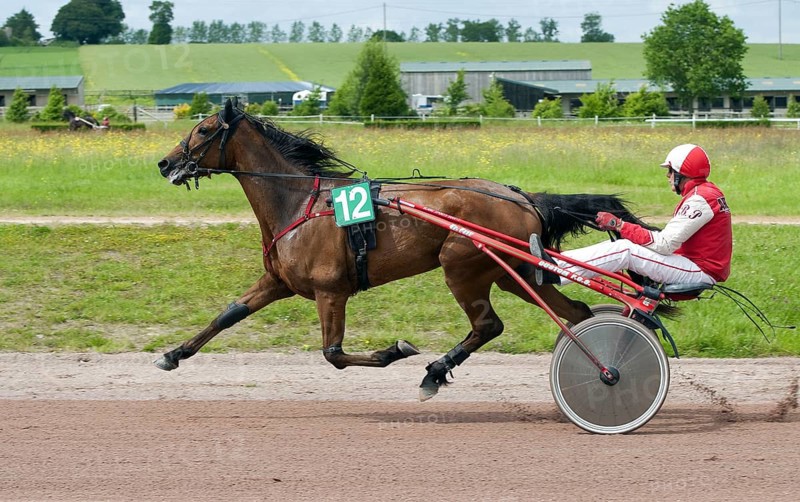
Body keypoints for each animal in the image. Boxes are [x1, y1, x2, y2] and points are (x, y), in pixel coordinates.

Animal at [155, 99, 652, 401]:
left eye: (203, 129)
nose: (164, 163)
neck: (298, 201)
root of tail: (523, 197)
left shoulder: (330, 290)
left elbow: (333, 354)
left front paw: (396, 350)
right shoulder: (278, 281)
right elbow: (228, 314)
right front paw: (173, 354)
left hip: (462, 266)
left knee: (488, 325)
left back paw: (434, 371)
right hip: (514, 273)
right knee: (575, 313)